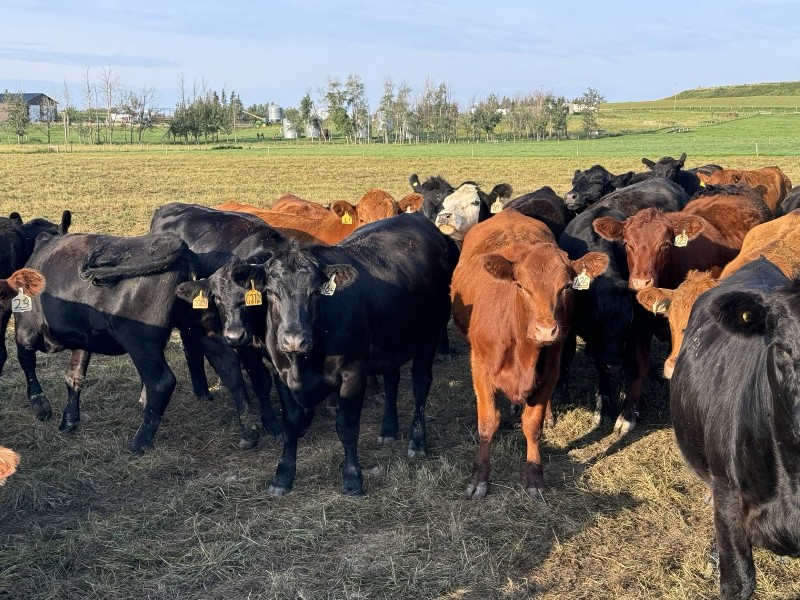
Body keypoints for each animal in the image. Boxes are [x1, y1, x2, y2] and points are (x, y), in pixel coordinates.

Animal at [13, 232, 204, 453]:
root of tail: (173, 242)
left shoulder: (25, 329)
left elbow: (27, 362)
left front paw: (41, 405)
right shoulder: (83, 340)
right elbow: (73, 377)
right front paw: (69, 421)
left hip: (141, 341)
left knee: (160, 382)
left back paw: (139, 442)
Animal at [150, 202, 290, 441]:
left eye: (249, 298)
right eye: (217, 298)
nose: (233, 336)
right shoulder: (247, 348)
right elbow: (262, 381)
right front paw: (272, 424)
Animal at [192, 212, 458, 496]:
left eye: (314, 293)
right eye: (271, 293)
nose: (294, 340)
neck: (304, 362)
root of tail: (416, 217)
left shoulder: (353, 373)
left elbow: (347, 426)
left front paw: (352, 477)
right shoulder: (280, 374)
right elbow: (291, 424)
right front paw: (283, 475)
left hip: (430, 337)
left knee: (420, 386)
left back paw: (417, 441)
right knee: (392, 379)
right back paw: (388, 428)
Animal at [451, 209, 609, 499]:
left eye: (566, 286)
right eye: (521, 286)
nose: (546, 330)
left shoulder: (550, 371)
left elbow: (532, 425)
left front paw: (534, 475)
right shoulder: (480, 368)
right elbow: (487, 423)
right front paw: (479, 477)